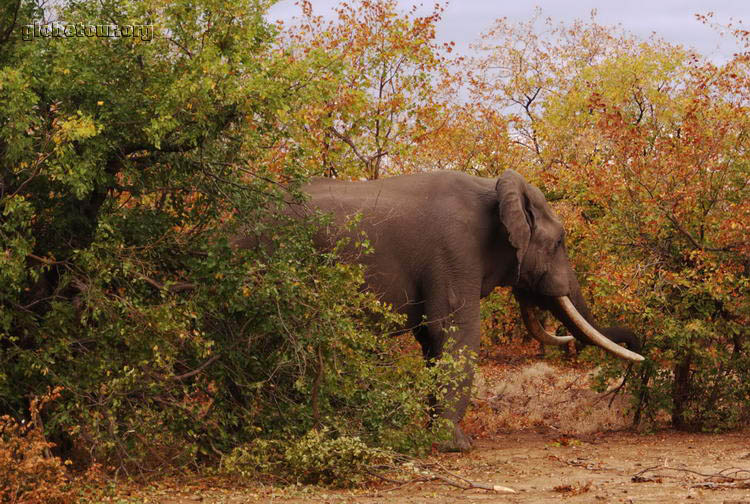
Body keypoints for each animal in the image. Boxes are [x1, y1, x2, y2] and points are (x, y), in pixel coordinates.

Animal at [234, 168, 648, 448]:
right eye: (560, 241)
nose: (641, 345)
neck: (493, 186)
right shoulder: (454, 249)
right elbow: (455, 332)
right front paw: (456, 446)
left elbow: (432, 341)